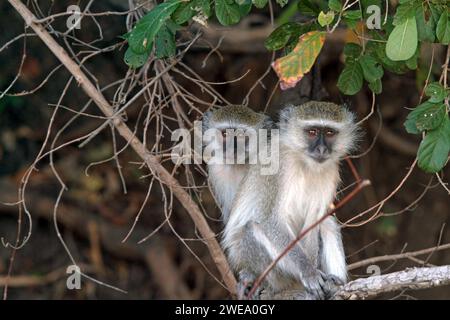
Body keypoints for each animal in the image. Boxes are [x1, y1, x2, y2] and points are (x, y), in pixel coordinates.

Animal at [223, 101, 360, 298]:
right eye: (312, 132)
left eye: (329, 132)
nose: (321, 149)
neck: (304, 162)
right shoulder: (275, 165)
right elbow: (271, 220)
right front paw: (309, 272)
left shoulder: (331, 171)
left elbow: (314, 221)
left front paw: (316, 274)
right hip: (256, 264)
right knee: (253, 229)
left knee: (327, 223)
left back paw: (333, 283)